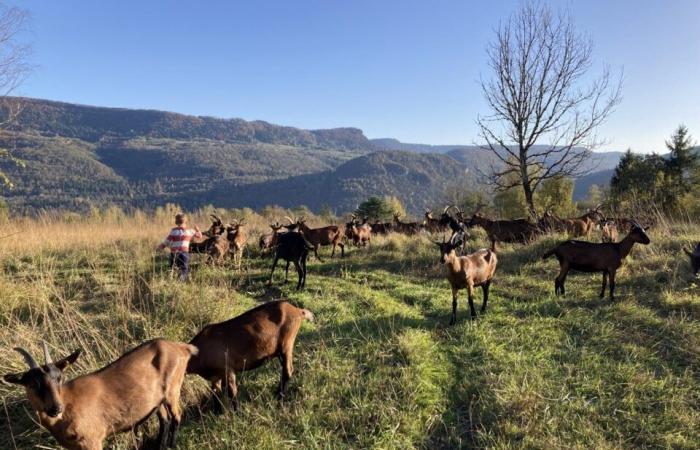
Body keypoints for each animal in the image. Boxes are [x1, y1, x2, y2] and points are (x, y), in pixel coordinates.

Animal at [3, 340, 197, 448]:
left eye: (59, 377)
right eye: (32, 383)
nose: (56, 408)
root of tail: (182, 347)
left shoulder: (92, 440)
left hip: (173, 390)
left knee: (176, 416)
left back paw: (172, 446)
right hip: (157, 400)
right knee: (165, 419)